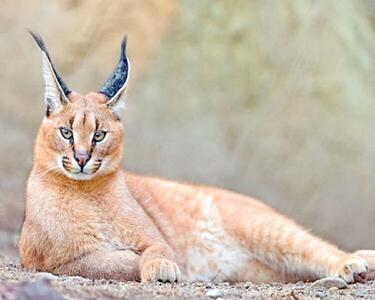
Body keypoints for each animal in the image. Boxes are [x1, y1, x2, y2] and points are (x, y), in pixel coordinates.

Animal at [19, 32, 375, 284]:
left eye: (99, 135)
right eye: (66, 132)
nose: (81, 158)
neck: (86, 192)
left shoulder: (154, 237)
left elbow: (155, 249)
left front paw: (162, 265)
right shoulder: (47, 261)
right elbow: (107, 261)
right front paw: (158, 266)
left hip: (260, 227)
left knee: (315, 247)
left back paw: (353, 263)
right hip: (263, 267)